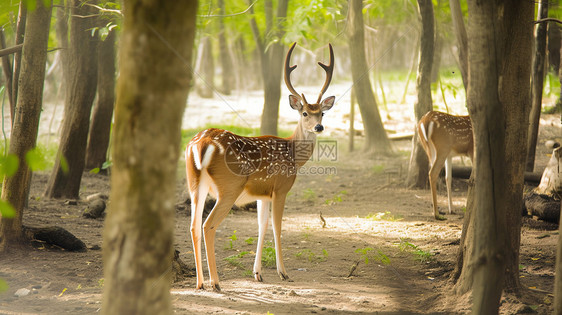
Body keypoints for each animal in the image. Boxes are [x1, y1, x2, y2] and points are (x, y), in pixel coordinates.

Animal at [185, 42, 332, 292]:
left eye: (321, 112)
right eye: (304, 113)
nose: (319, 127)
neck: (293, 154)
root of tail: (202, 143)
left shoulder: (262, 193)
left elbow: (261, 226)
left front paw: (258, 274)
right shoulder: (281, 188)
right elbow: (277, 227)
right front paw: (283, 273)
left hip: (195, 183)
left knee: (194, 226)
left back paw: (200, 283)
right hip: (229, 187)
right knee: (207, 225)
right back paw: (216, 283)